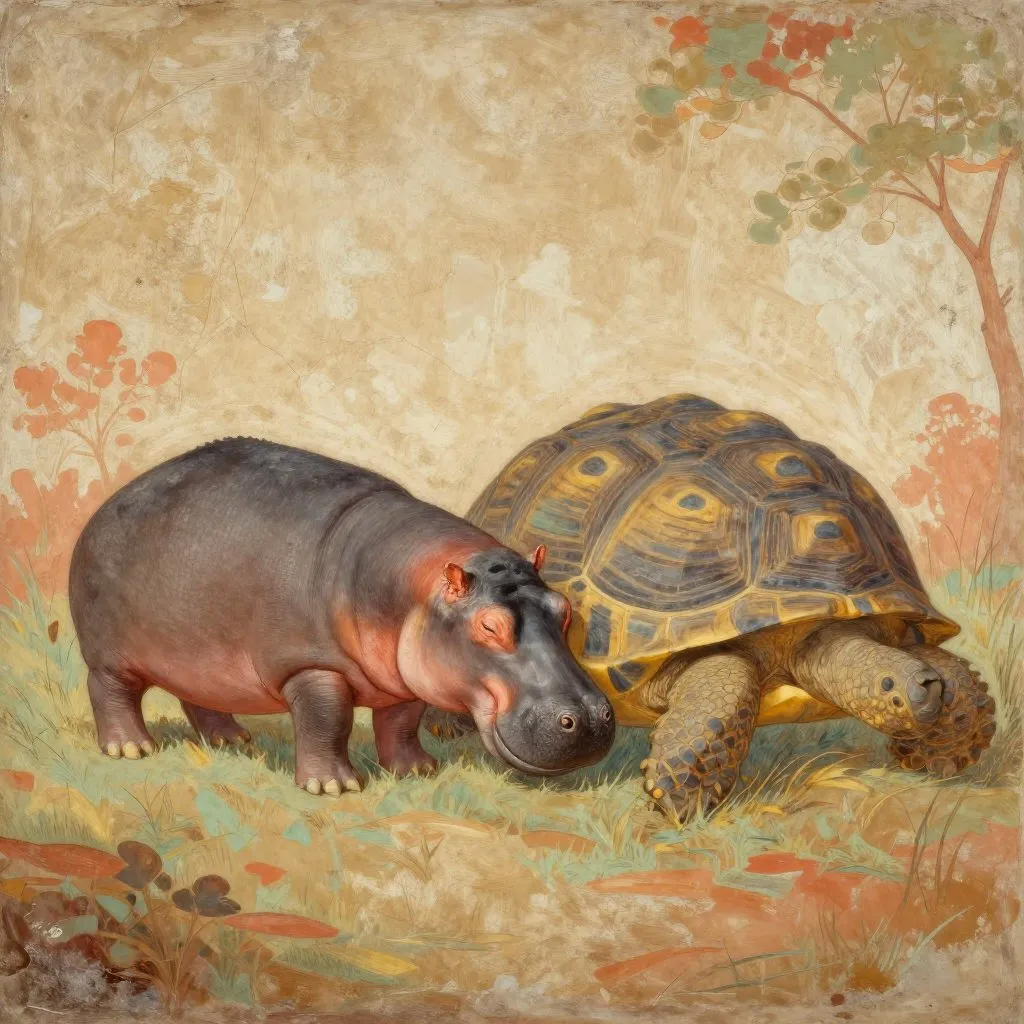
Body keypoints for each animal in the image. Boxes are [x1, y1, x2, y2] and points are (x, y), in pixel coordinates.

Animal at [68, 438, 615, 793]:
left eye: (564, 610)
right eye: (488, 626)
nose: (591, 718)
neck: (411, 584)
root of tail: (108, 503)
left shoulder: (404, 677)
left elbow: (402, 723)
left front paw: (417, 770)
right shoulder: (311, 666)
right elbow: (327, 720)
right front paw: (334, 787)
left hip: (198, 656)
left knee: (198, 695)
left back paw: (233, 738)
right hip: (109, 653)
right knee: (109, 691)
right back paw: (130, 749)